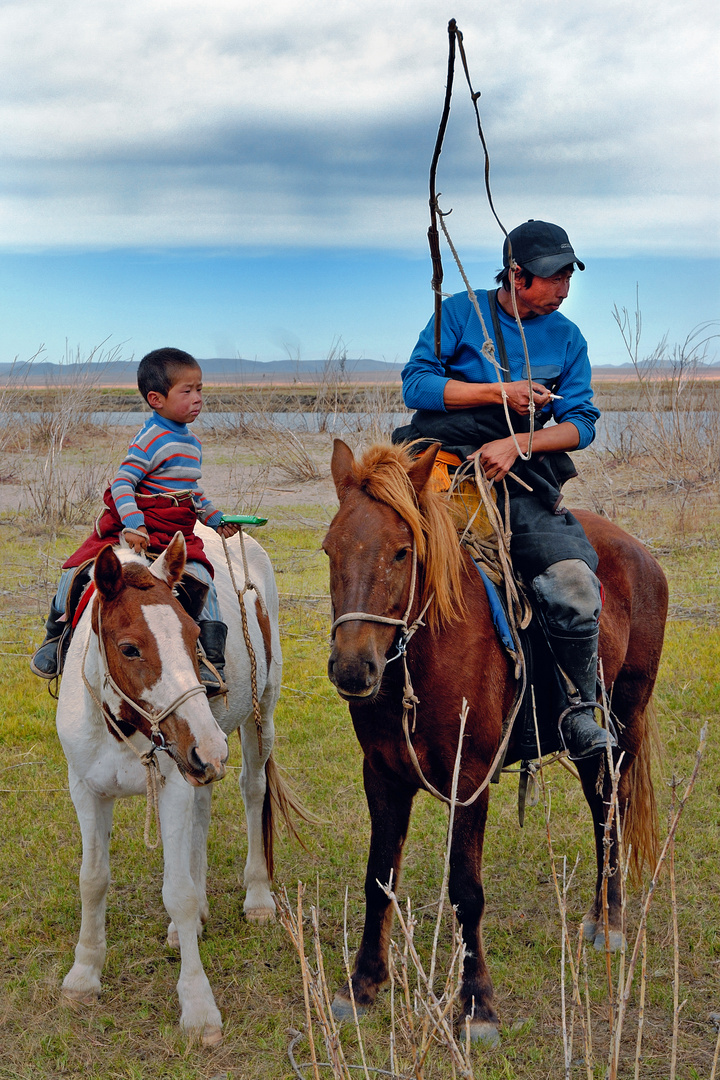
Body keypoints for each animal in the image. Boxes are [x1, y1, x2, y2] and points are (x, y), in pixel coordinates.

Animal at [56, 524, 287, 1045]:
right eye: (129, 648)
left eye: (194, 634)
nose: (209, 747)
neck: (120, 724)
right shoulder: (86, 790)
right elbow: (92, 880)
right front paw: (83, 974)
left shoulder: (176, 785)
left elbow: (176, 891)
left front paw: (198, 1008)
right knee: (203, 815)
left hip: (256, 719)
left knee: (252, 790)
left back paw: (258, 897)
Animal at [323, 440, 669, 1045]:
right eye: (329, 550)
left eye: (402, 552)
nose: (352, 667)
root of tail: (643, 555)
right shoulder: (382, 775)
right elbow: (379, 877)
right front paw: (363, 984)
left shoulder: (471, 779)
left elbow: (467, 890)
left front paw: (477, 1004)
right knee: (601, 807)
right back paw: (599, 915)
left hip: (623, 720)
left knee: (611, 809)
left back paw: (612, 921)